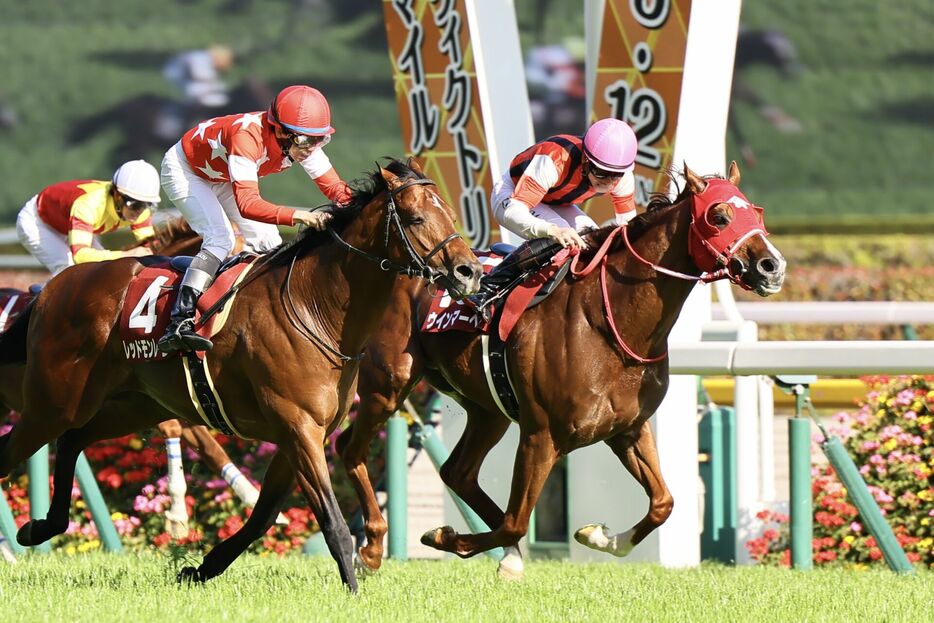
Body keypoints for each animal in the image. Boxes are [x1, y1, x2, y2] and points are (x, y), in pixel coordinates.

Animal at [0, 158, 482, 592]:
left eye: (451, 214)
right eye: (416, 217)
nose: (470, 271)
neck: (316, 306)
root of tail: (53, 290)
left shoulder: (301, 434)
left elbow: (263, 517)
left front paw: (199, 568)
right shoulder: (298, 428)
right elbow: (332, 521)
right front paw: (354, 588)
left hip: (131, 406)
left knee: (73, 439)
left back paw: (39, 527)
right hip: (55, 401)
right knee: (21, 448)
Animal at [340, 162, 788, 580]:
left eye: (758, 213)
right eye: (719, 216)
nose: (773, 266)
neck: (609, 320)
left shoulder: (629, 428)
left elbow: (663, 503)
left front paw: (600, 537)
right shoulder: (541, 434)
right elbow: (515, 521)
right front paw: (445, 537)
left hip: (487, 410)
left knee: (458, 472)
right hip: (389, 383)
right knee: (352, 449)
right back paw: (369, 550)